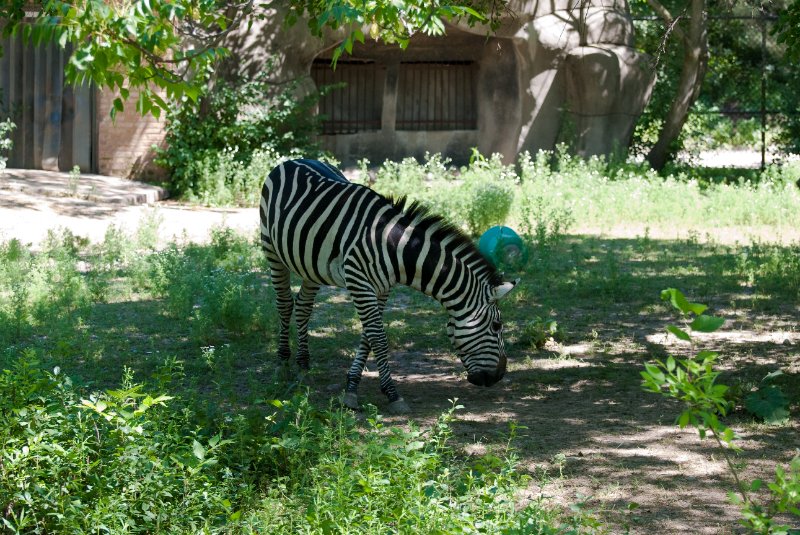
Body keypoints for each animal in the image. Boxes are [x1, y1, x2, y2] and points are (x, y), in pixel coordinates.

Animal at [259, 158, 517, 413]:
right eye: (496, 326)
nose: (499, 376)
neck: (396, 247)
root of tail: (296, 159)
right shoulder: (359, 283)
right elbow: (378, 338)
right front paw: (393, 394)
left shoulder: (382, 289)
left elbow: (368, 337)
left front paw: (352, 387)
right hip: (272, 250)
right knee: (284, 304)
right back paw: (282, 365)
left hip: (311, 266)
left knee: (303, 306)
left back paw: (303, 367)